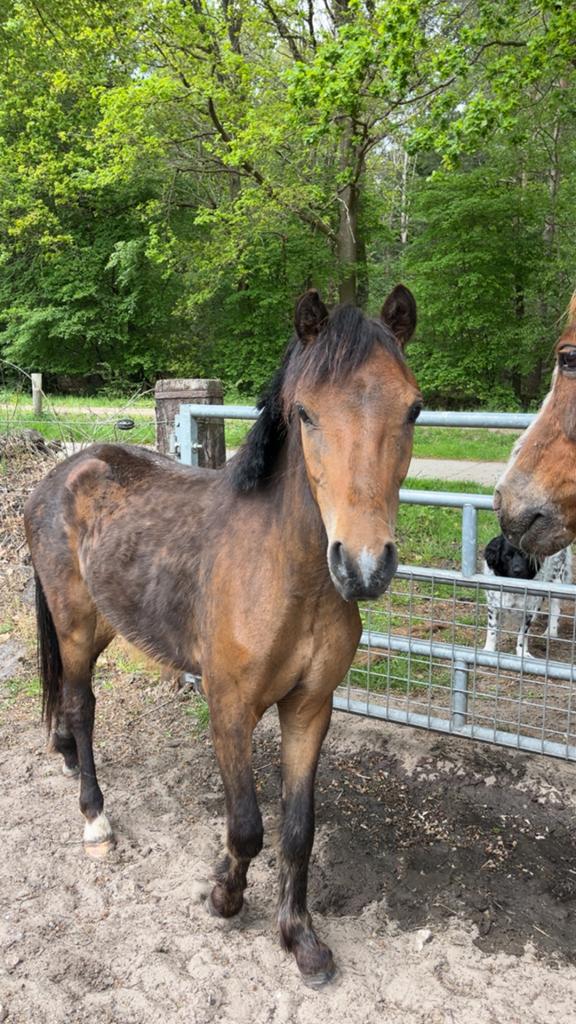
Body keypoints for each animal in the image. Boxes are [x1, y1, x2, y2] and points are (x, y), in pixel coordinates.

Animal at [24, 284, 422, 987]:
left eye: (413, 410)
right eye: (307, 414)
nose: (364, 565)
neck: (287, 575)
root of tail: (61, 473)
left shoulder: (309, 709)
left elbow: (297, 831)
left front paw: (302, 940)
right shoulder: (230, 708)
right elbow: (247, 827)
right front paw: (225, 895)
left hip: (103, 623)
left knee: (72, 703)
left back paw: (67, 755)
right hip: (72, 624)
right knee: (81, 702)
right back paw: (95, 817)